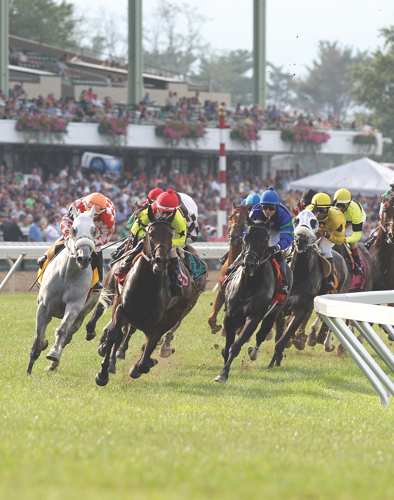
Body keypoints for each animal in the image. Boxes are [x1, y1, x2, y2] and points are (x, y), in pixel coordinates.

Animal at [26, 205, 101, 374]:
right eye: (74, 229)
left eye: (94, 230)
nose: (83, 258)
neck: (67, 274)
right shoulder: (44, 306)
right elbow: (38, 335)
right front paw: (29, 369)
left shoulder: (74, 306)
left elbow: (61, 330)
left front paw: (53, 353)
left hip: (82, 315)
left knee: (67, 335)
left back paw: (54, 362)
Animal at [95, 207, 194, 386]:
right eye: (150, 233)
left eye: (171, 235)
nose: (161, 260)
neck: (146, 285)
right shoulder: (121, 309)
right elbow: (114, 335)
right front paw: (103, 373)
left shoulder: (159, 323)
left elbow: (149, 349)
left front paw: (140, 366)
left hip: (176, 313)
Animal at [208, 201, 248, 334]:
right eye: (230, 217)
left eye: (245, 219)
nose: (234, 237)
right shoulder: (221, 291)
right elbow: (211, 318)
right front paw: (217, 328)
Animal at [215, 218, 292, 382]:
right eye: (246, 237)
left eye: (264, 239)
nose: (249, 264)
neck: (247, 286)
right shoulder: (230, 316)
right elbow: (229, 344)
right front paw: (223, 369)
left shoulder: (254, 317)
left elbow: (236, 345)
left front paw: (223, 373)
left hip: (272, 314)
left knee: (261, 335)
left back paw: (253, 353)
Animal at [266, 209, 350, 370]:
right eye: (296, 220)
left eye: (313, 222)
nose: (301, 239)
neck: (299, 274)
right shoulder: (280, 307)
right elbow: (280, 334)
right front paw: (277, 358)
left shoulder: (301, 309)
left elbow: (284, 337)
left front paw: (274, 359)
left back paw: (326, 343)